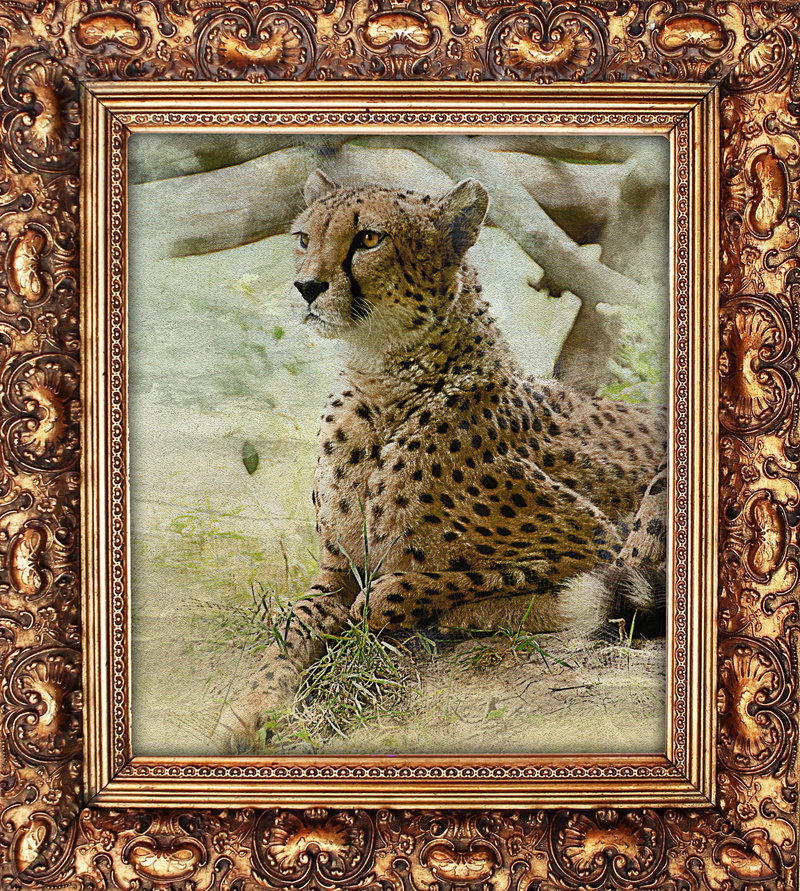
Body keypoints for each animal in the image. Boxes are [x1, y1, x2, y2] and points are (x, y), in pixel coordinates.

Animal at [214, 170, 668, 747]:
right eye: (303, 238)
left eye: (369, 239)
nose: (306, 287)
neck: (384, 386)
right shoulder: (335, 567)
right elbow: (291, 628)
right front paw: (248, 707)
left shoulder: (595, 539)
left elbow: (426, 584)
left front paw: (403, 606)